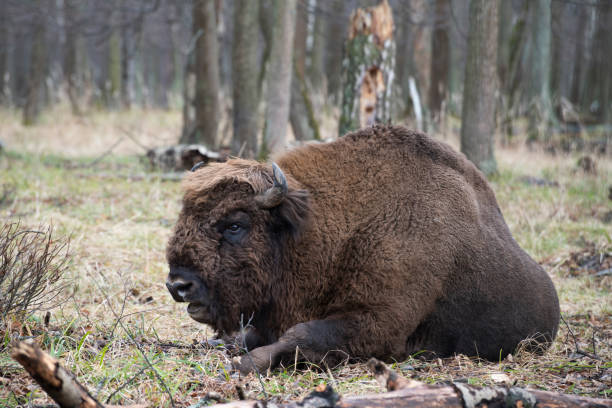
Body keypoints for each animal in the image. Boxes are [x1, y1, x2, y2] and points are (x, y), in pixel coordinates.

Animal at [164, 126, 560, 374]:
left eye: (235, 224)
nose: (177, 284)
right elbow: (247, 336)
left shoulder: (379, 323)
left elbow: (301, 335)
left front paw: (246, 364)